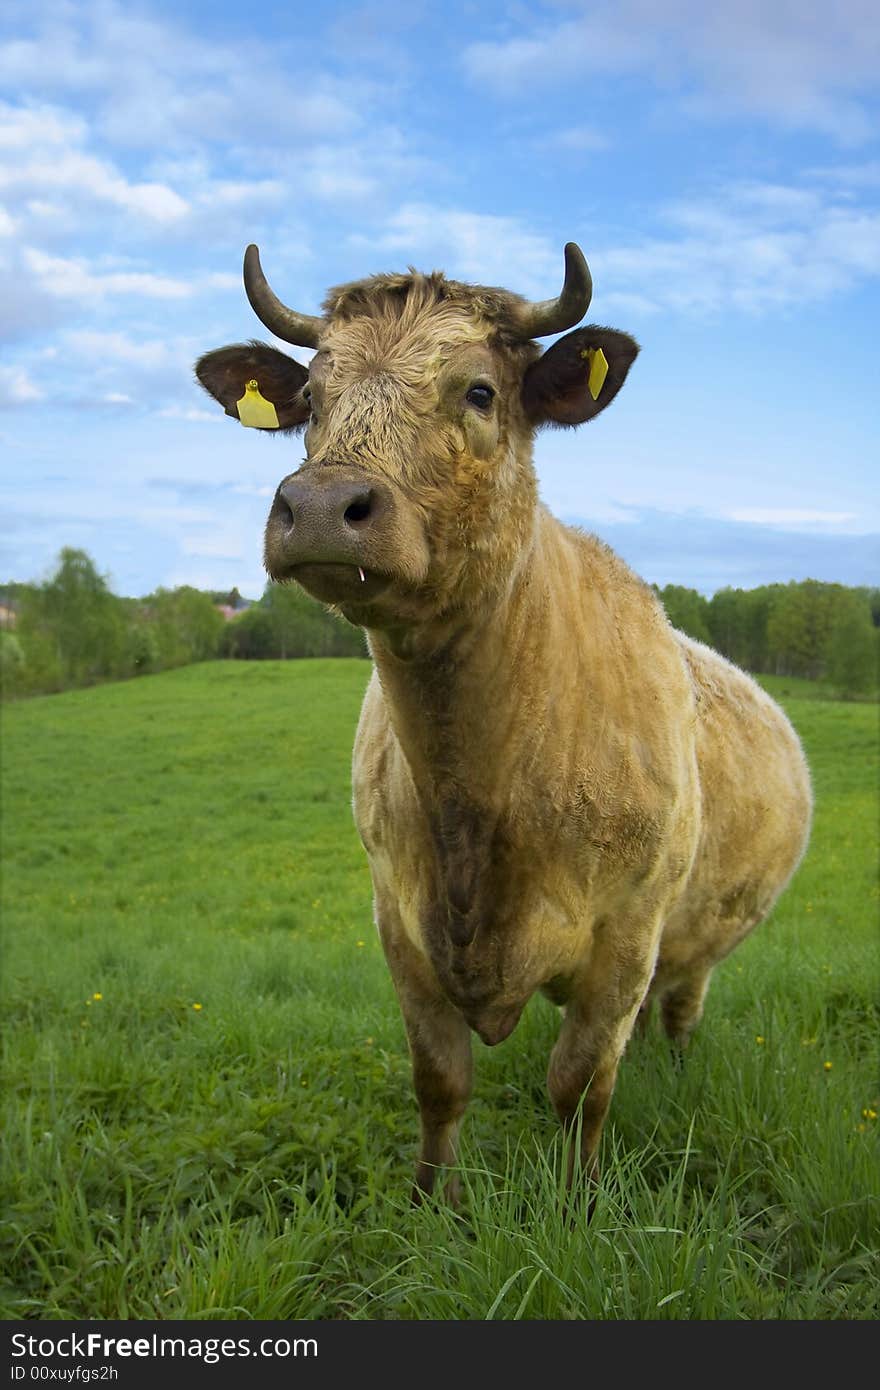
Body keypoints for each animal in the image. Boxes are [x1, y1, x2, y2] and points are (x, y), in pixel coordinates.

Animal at [196, 247, 811, 1206]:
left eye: (479, 391)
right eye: (312, 398)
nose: (323, 506)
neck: (473, 789)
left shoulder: (627, 933)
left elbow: (580, 1084)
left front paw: (579, 1204)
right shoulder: (398, 922)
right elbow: (440, 1080)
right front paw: (431, 1204)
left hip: (697, 945)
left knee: (678, 1012)